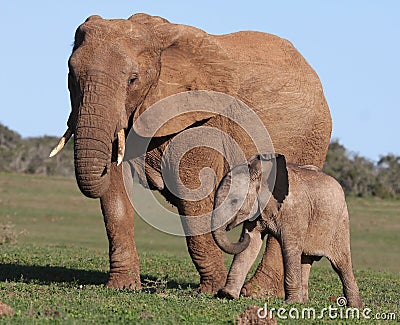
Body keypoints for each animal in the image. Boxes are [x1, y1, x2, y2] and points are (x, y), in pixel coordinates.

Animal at [50, 13, 332, 294]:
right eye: (71, 75)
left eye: (133, 79)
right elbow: (115, 192)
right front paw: (122, 287)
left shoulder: (201, 117)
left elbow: (193, 191)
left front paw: (211, 291)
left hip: (312, 138)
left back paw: (257, 292)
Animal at [212, 153, 362, 306]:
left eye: (235, 201)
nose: (229, 228)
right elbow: (252, 244)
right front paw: (227, 295)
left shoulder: (294, 209)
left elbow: (289, 248)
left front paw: (292, 303)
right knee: (306, 259)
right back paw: (304, 302)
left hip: (340, 222)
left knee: (341, 263)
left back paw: (355, 306)